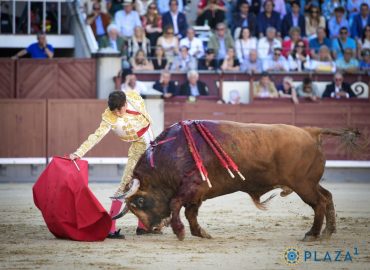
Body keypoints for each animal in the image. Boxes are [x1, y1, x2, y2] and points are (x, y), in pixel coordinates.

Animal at [123, 120, 360, 240]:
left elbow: (175, 204)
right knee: (327, 197)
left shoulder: (191, 187)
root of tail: (311, 131)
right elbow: (191, 212)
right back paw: (328, 232)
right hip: (310, 183)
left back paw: (313, 234)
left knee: (319, 202)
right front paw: (201, 233)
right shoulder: (198, 193)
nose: (147, 228)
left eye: (139, 202)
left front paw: (180, 231)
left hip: (303, 185)